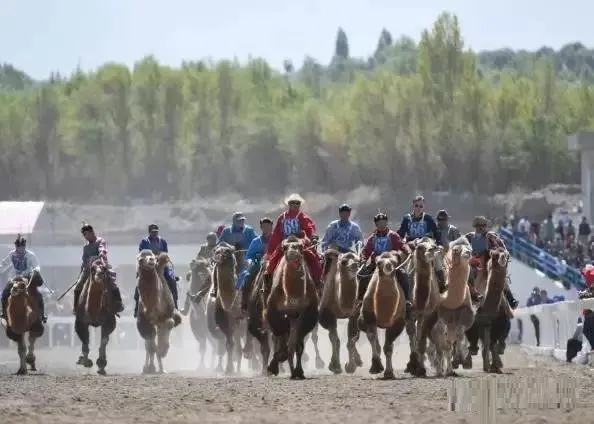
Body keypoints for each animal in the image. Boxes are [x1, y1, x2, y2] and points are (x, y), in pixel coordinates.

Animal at [356, 250, 408, 380]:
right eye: (378, 263)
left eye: (395, 263)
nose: (388, 267)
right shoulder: (367, 317)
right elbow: (371, 337)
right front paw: (376, 367)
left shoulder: (398, 322)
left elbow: (388, 347)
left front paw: (389, 373)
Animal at [404, 237, 446, 380]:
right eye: (419, 247)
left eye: (433, 245)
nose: (431, 250)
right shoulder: (409, 313)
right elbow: (413, 337)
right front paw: (413, 366)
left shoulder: (428, 314)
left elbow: (421, 342)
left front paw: (421, 369)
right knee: (414, 336)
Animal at [430, 237, 472, 376]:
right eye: (456, 250)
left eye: (470, 248)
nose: (468, 253)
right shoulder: (439, 319)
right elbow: (443, 345)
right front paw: (442, 370)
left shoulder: (462, 313)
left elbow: (458, 336)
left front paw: (458, 361)